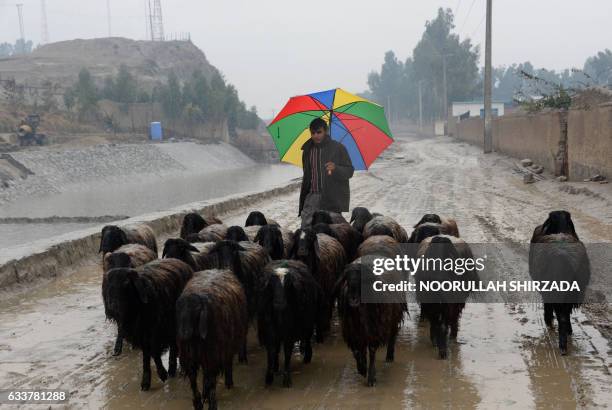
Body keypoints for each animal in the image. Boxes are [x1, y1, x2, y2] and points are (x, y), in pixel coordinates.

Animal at [103, 260, 192, 390]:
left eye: (126, 283)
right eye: (108, 285)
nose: (112, 308)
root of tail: (182, 263)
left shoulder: (155, 329)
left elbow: (153, 351)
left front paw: (162, 373)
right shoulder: (142, 333)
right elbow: (146, 355)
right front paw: (146, 381)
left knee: (173, 345)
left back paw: (172, 368)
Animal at [176, 270, 247, 410]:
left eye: (196, 312)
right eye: (181, 313)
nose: (183, 334)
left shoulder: (213, 355)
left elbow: (210, 381)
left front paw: (209, 403)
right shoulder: (194, 357)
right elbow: (196, 380)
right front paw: (199, 402)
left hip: (221, 347)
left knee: (219, 369)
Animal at [256, 260, 322, 388]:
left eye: (288, 284)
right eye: (272, 284)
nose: (279, 303)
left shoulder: (289, 333)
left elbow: (287, 352)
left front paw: (287, 379)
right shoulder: (269, 332)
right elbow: (271, 352)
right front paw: (269, 377)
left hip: (308, 322)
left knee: (307, 338)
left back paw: (307, 357)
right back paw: (276, 367)